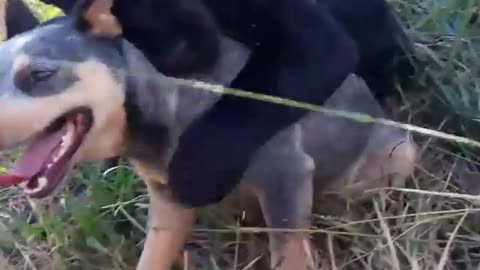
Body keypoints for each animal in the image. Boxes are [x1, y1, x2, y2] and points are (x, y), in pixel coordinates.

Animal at [0, 1, 416, 268]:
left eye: (40, 74)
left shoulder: (286, 177)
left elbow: (290, 257)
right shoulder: (168, 202)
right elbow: (152, 258)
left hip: (399, 153)